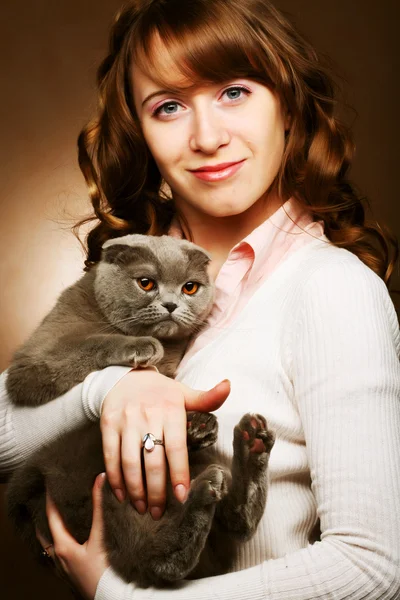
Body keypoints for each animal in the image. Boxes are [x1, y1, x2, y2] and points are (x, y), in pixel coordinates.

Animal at [6, 236, 276, 592]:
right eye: (146, 283)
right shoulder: (31, 364)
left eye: (190, 287)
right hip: (98, 485)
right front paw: (141, 346)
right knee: (150, 560)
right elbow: (91, 342)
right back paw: (209, 486)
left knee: (233, 523)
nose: (171, 305)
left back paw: (250, 443)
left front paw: (200, 424)